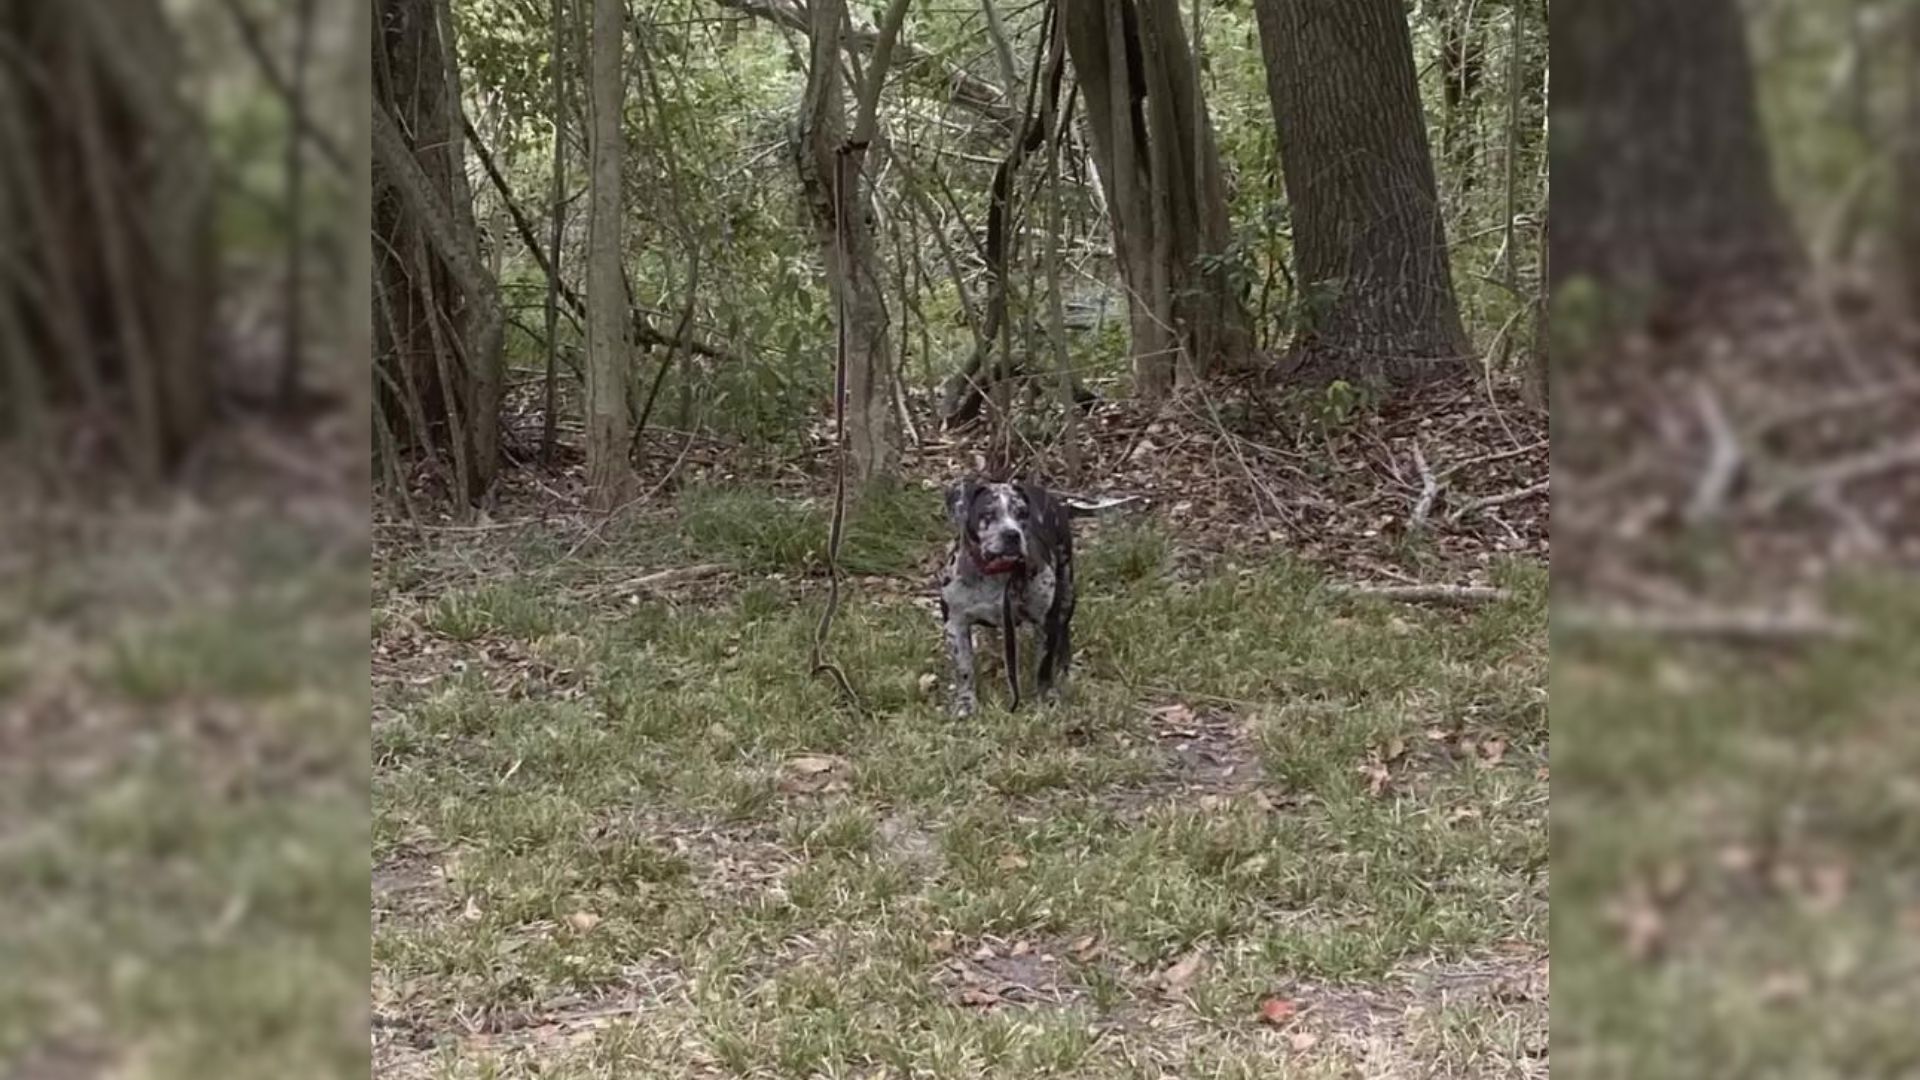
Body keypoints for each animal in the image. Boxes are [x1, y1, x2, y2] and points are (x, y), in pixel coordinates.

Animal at [940, 476, 1082, 714]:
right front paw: (966, 703)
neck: (996, 574)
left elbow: (1044, 665)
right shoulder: (955, 624)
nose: (1012, 534)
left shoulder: (1046, 621)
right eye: (988, 513)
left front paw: (1046, 697)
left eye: (1022, 513)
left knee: (1063, 637)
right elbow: (964, 668)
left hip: (1067, 594)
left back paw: (1065, 670)